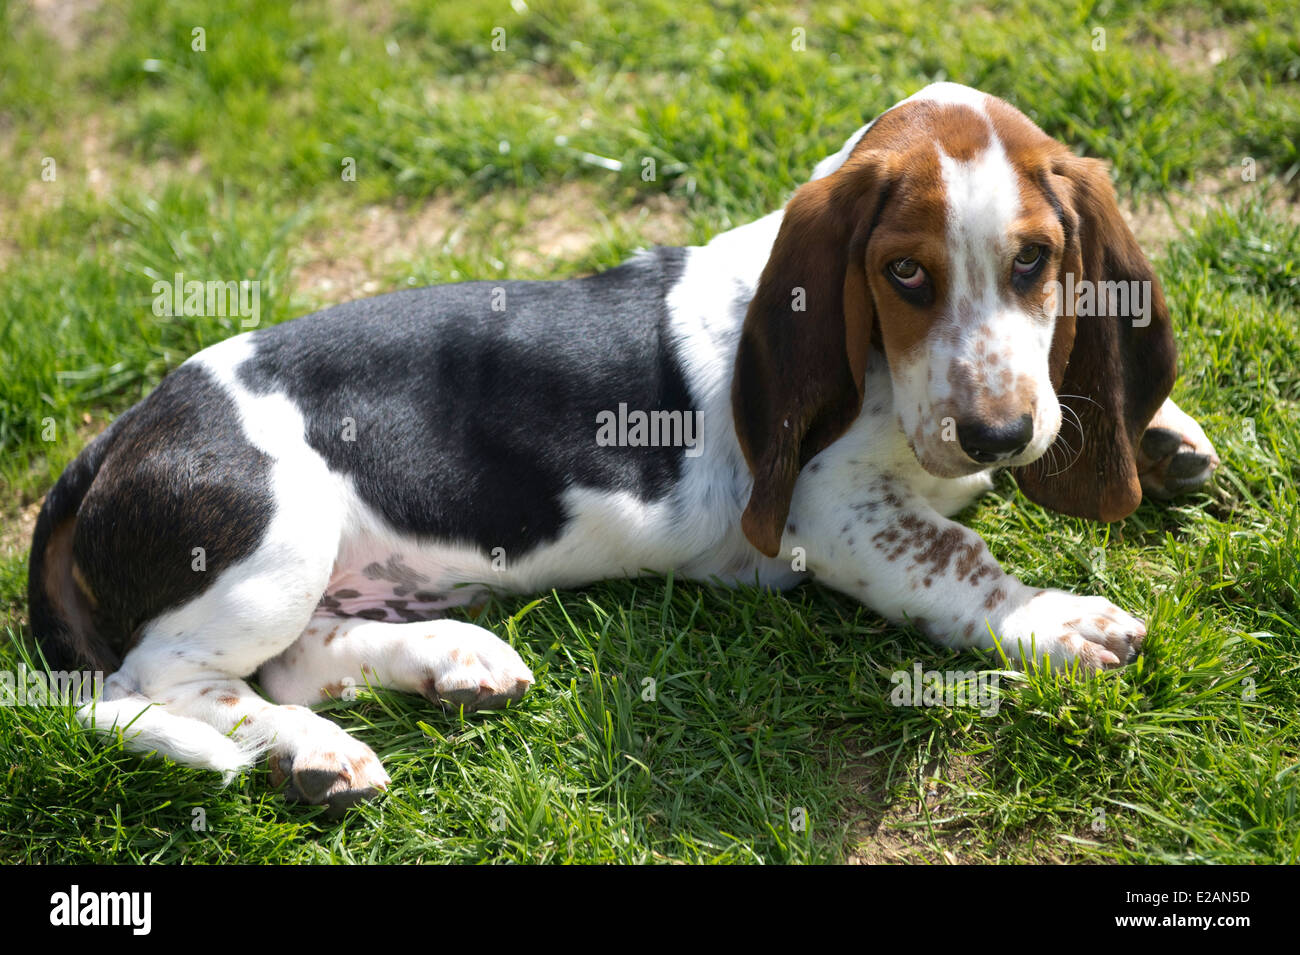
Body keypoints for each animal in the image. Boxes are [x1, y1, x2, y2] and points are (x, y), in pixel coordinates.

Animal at [25, 83, 1216, 815]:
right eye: (905, 273)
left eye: (1036, 261)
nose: (997, 435)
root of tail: (118, 433)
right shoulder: (829, 513)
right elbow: (955, 560)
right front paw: (1061, 623)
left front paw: (1159, 436)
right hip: (275, 542)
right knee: (154, 683)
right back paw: (315, 751)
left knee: (295, 660)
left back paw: (451, 663)